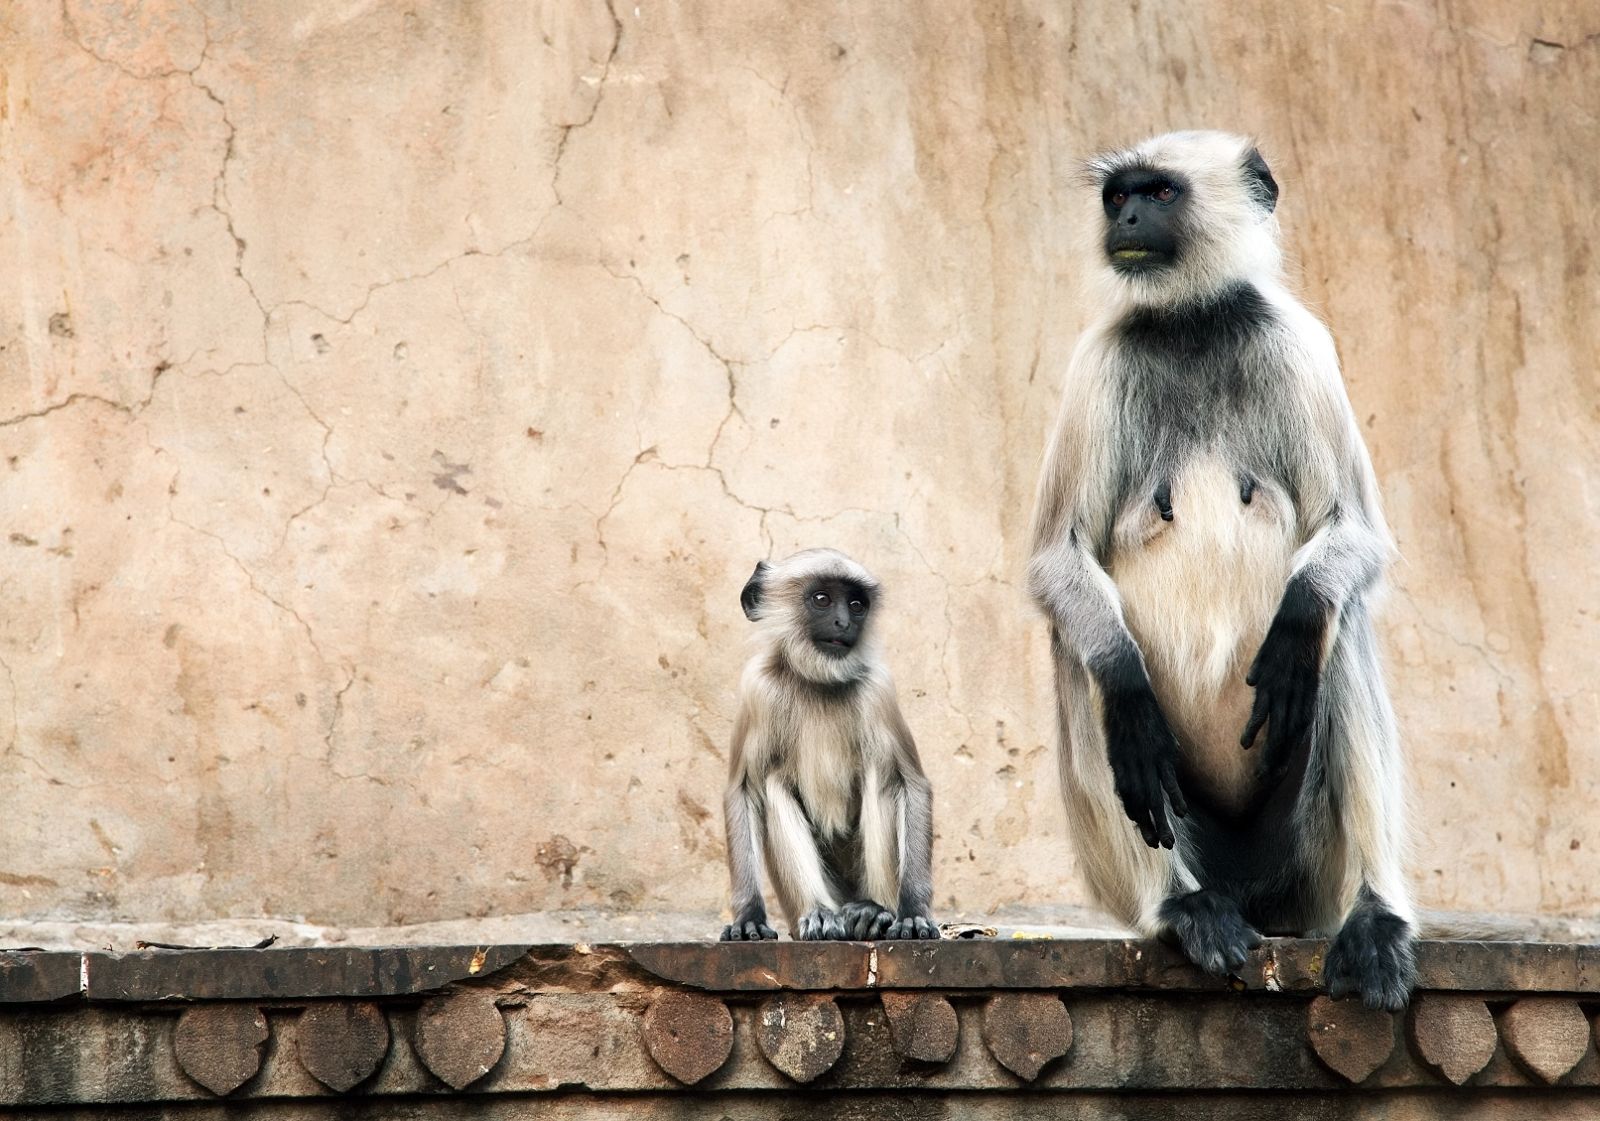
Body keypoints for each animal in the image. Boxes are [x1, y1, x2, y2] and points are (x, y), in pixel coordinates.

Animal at [720, 548, 939, 942]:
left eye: (856, 605)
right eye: (822, 599)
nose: (843, 623)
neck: (818, 680)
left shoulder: (879, 689)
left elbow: (911, 783)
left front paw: (914, 911)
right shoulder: (758, 688)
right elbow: (742, 790)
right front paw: (748, 916)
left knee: (880, 776)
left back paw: (874, 912)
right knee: (774, 784)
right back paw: (820, 914)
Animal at [1027, 131, 1415, 1010]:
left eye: (1161, 193)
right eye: (1120, 196)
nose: (1126, 219)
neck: (1193, 322)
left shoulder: (1298, 345)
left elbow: (1357, 539)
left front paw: (1299, 614)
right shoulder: (1099, 361)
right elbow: (1058, 562)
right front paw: (1127, 689)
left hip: (1300, 869)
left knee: (1333, 630)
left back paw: (1375, 916)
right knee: (1079, 652)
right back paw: (1183, 906)